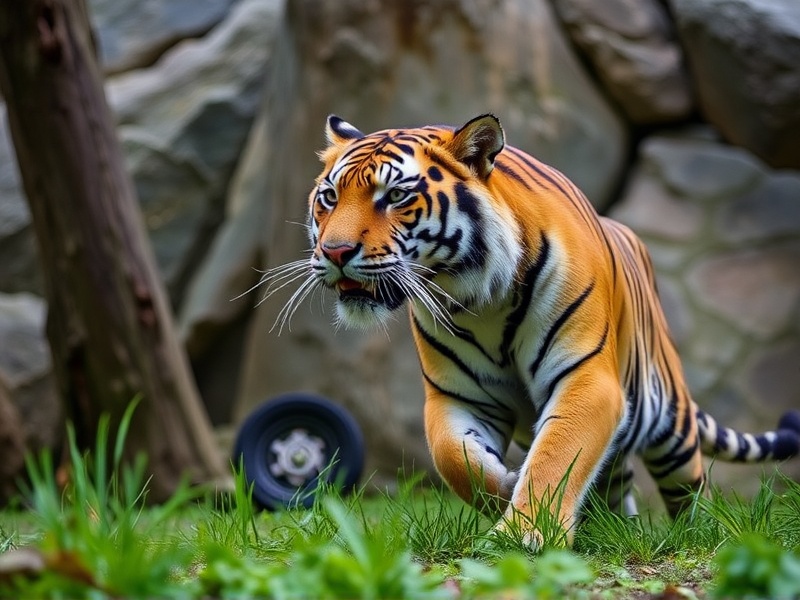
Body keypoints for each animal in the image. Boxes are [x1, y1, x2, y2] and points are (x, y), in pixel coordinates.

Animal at [264, 113, 800, 547]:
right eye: (329, 198)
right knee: (614, 482)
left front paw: (525, 533)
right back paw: (612, 529)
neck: (477, 300)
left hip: (670, 424)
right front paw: (505, 487)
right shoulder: (456, 396)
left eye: (395, 196)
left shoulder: (587, 379)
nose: (334, 252)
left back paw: (696, 533)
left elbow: (557, 456)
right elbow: (455, 459)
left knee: (688, 488)